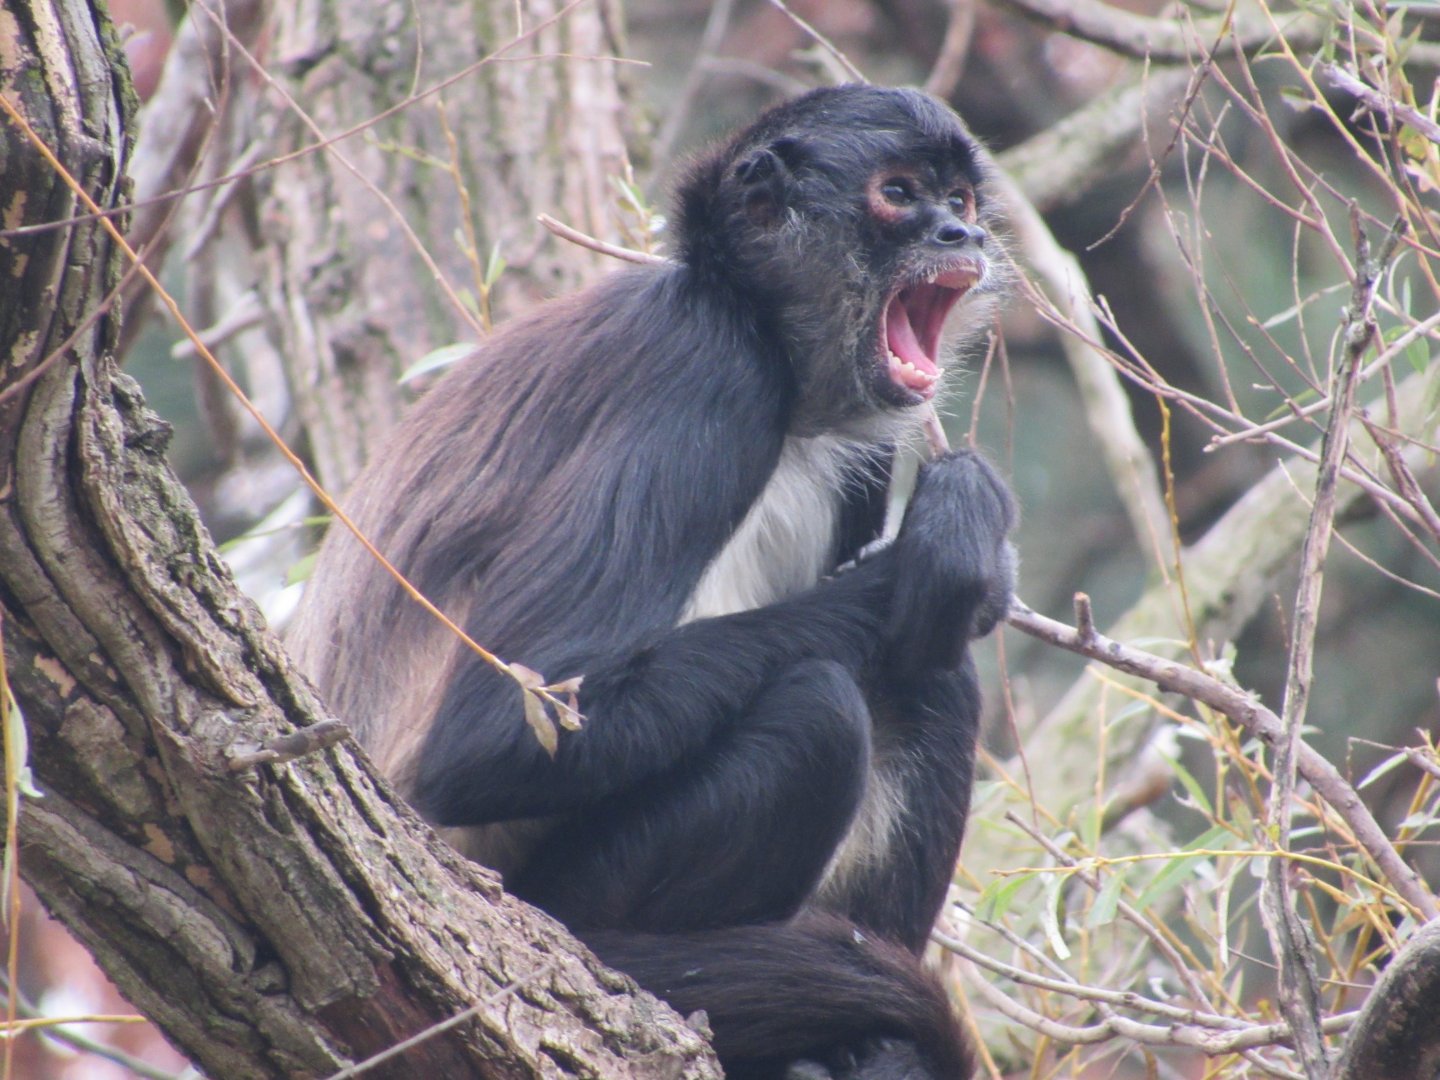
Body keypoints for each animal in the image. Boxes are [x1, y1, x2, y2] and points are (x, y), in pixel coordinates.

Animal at [286, 84, 1016, 1080]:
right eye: (899, 194)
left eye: (961, 199)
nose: (961, 234)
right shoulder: (706, 372)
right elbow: (489, 743)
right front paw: (956, 542)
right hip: (553, 890)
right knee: (827, 706)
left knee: (930, 676)